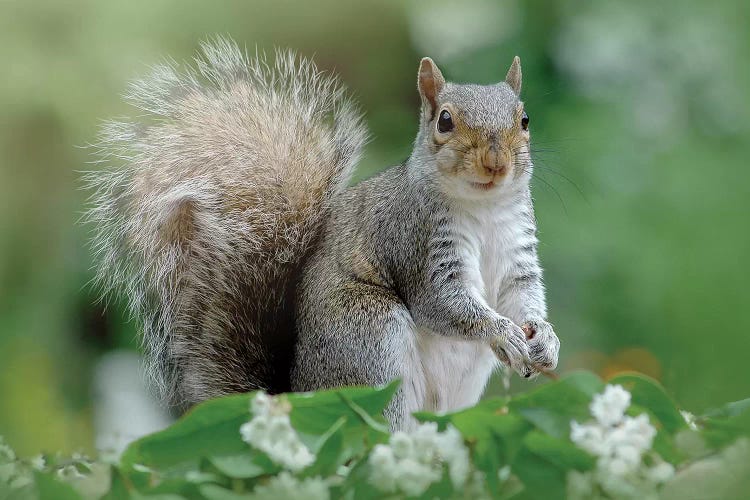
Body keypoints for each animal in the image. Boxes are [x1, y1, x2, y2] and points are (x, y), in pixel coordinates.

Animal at [86, 39, 560, 430]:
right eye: (445, 121)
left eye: (524, 119)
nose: (496, 163)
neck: (483, 210)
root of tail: (297, 397)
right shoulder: (415, 242)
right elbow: (443, 304)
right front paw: (502, 332)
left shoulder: (517, 254)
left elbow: (523, 295)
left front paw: (545, 338)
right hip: (369, 340)